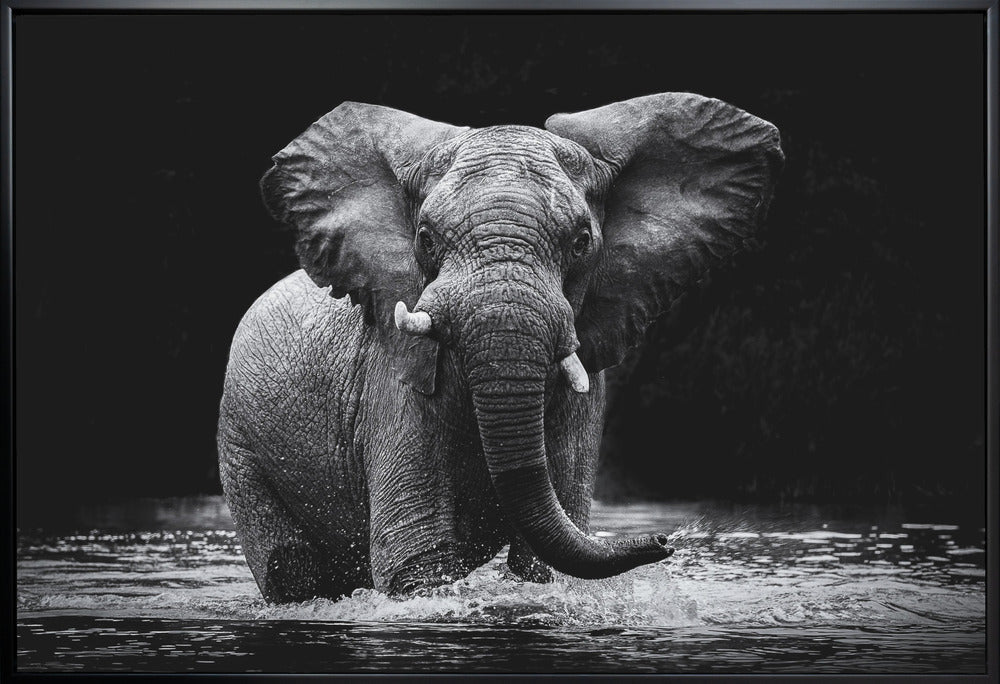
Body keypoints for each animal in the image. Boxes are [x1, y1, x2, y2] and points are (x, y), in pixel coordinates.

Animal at [217, 92, 783, 602]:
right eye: (425, 239)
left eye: (582, 241)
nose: (666, 540)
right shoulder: (394, 380)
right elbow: (415, 561)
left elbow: (543, 564)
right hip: (238, 442)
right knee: (289, 570)